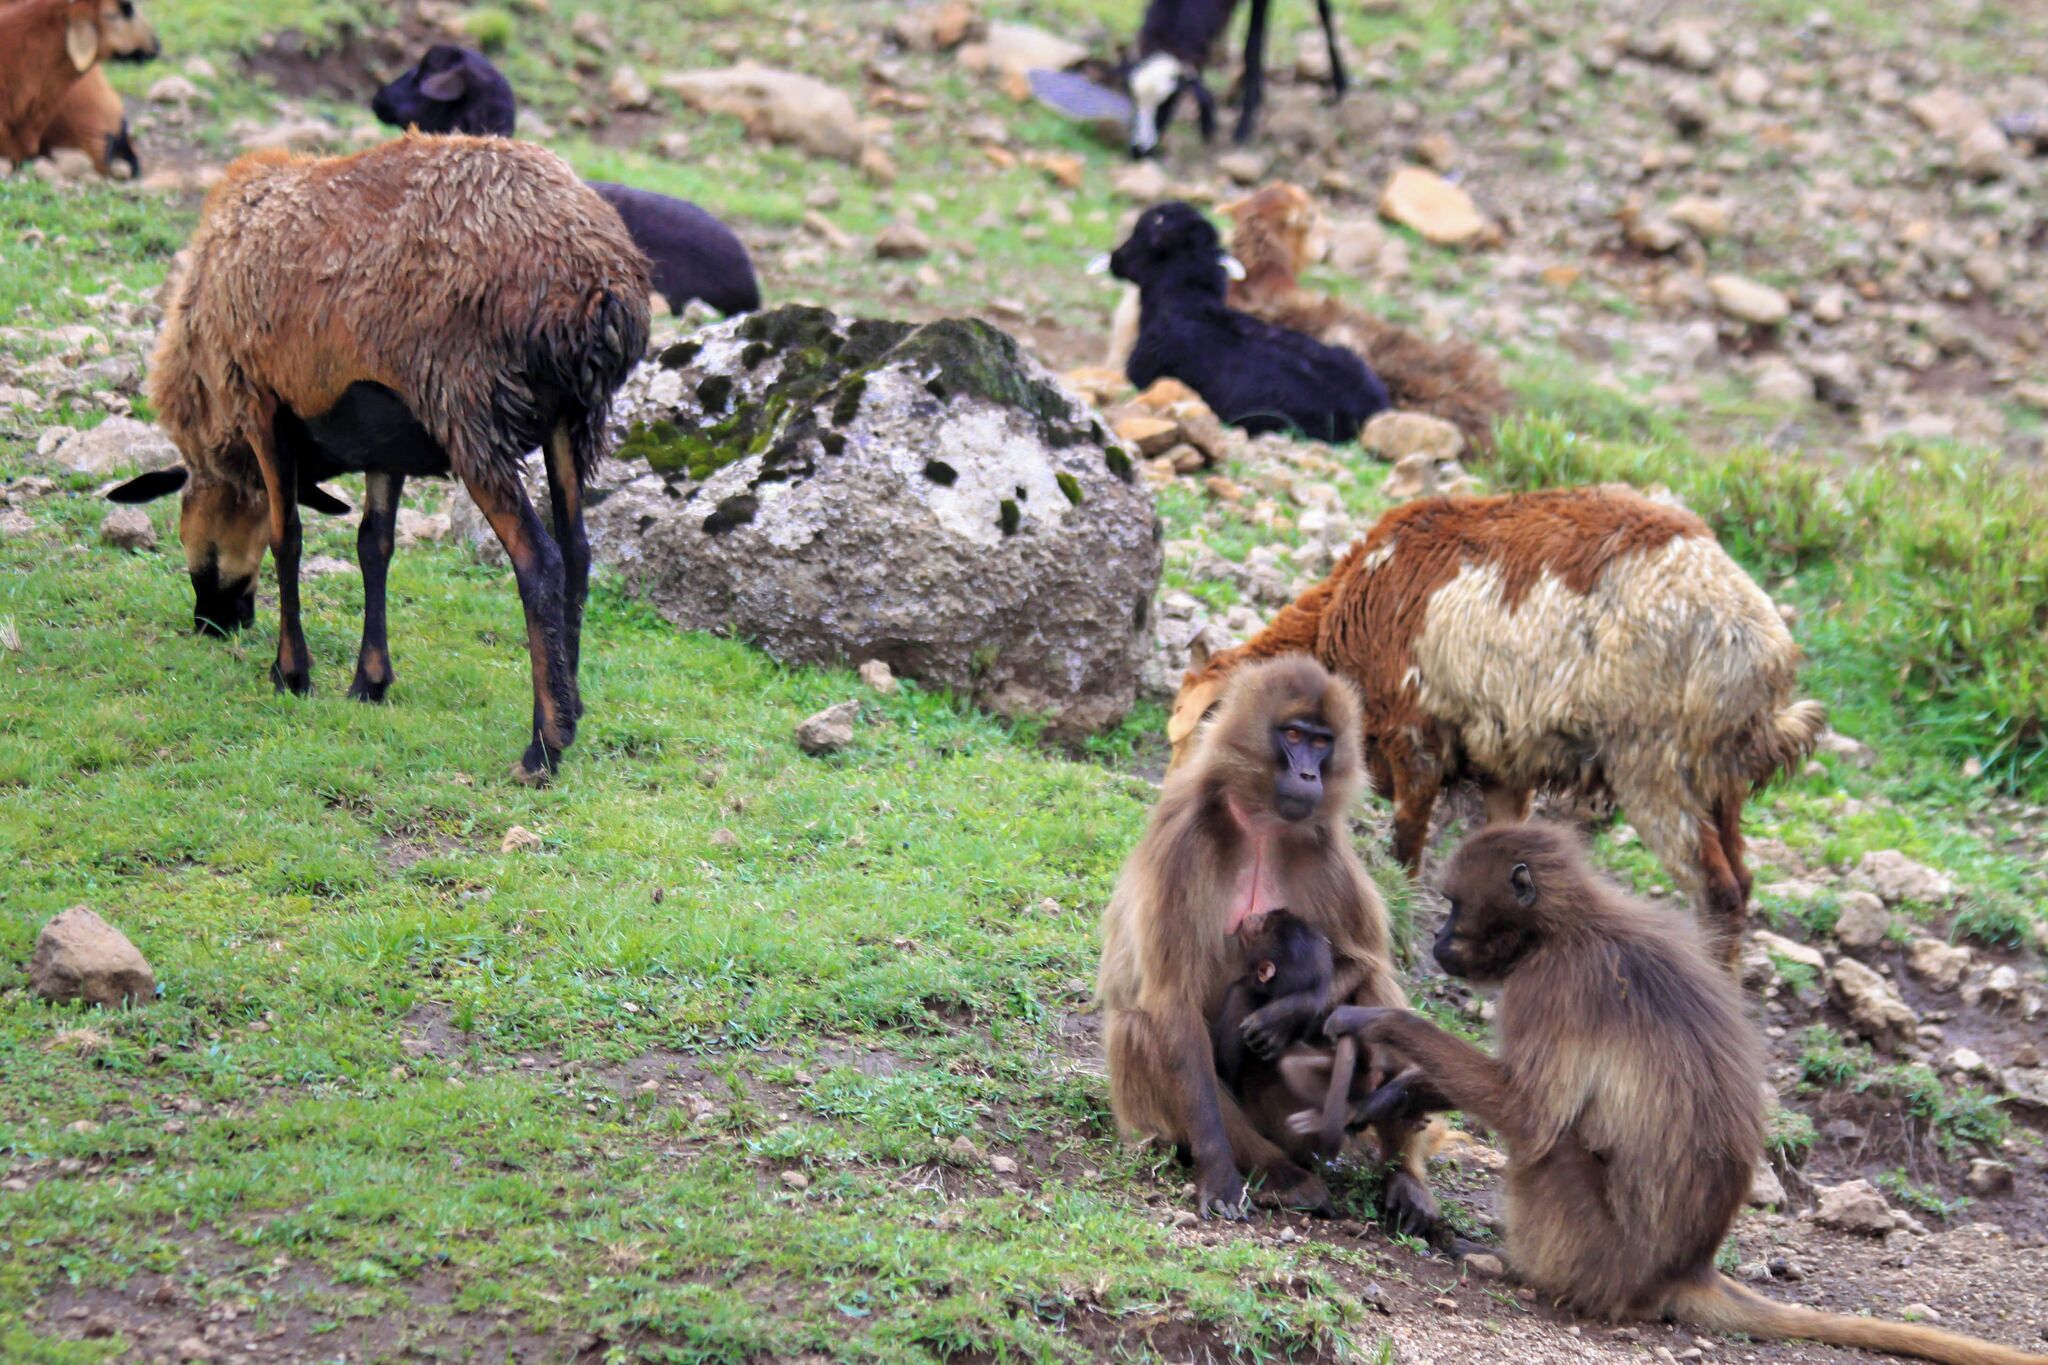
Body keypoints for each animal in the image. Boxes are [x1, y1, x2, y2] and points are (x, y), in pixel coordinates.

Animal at [105, 134, 652, 786]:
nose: (213, 624)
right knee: (578, 551)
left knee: (539, 561)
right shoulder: (384, 438)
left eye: (183, 525)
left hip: (470, 407)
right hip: (571, 419)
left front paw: (290, 673)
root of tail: (600, 281)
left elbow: (285, 536)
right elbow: (375, 546)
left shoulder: (261, 403)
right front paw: (369, 683)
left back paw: (544, 747)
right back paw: (572, 702)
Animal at [1166, 486, 1825, 965]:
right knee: (1742, 880)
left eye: (1208, 731)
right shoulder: (1506, 763)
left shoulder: (1416, 733)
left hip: (1654, 766)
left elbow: (1408, 839)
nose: (1172, 811)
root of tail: (1761, 651)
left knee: (1719, 892)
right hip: (1721, 780)